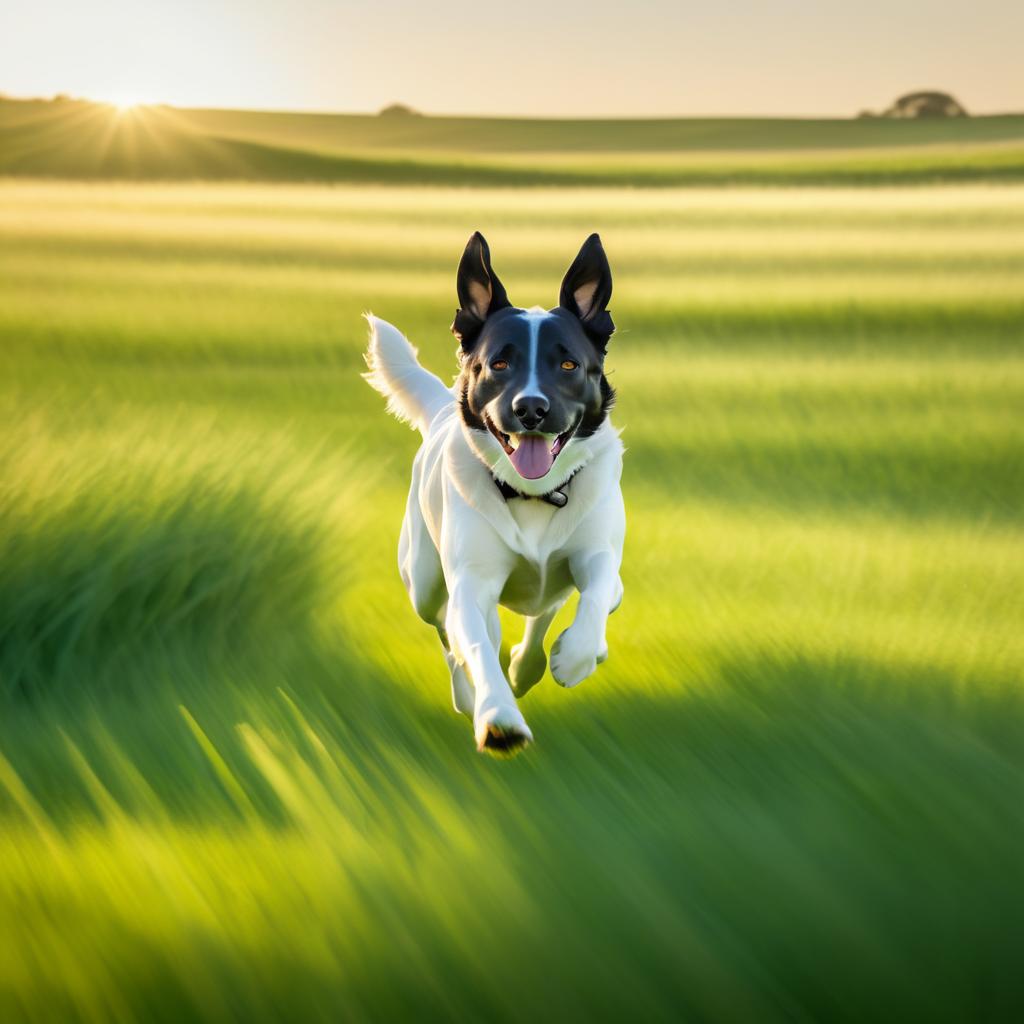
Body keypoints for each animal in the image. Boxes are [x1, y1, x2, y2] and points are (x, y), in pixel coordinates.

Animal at [368, 230, 622, 753]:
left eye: (569, 364)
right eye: (499, 364)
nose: (530, 409)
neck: (534, 494)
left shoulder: (599, 554)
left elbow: (597, 595)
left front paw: (576, 656)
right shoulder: (471, 583)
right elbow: (476, 643)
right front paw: (498, 718)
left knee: (548, 607)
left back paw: (530, 664)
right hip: (424, 581)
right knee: (449, 633)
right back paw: (473, 694)